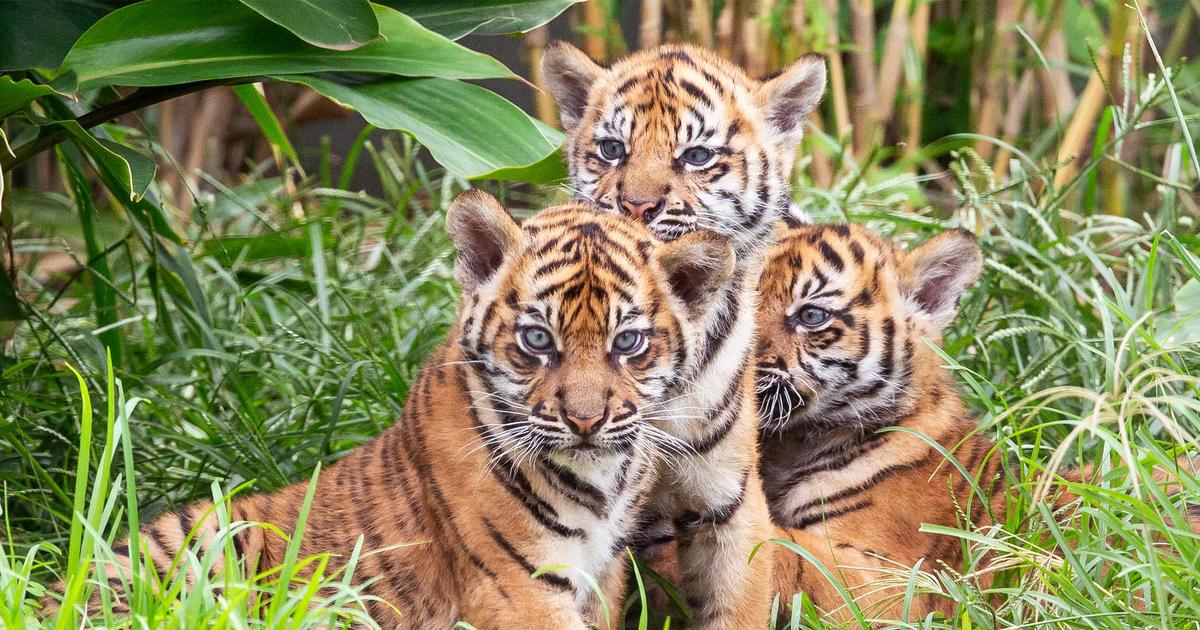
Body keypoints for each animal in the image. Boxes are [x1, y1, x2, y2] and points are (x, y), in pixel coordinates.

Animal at [43, 192, 740, 629]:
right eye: (538, 339)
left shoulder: (600, 578)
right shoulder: (517, 589)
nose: (586, 421)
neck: (602, 481)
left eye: (629, 343)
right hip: (207, 543)